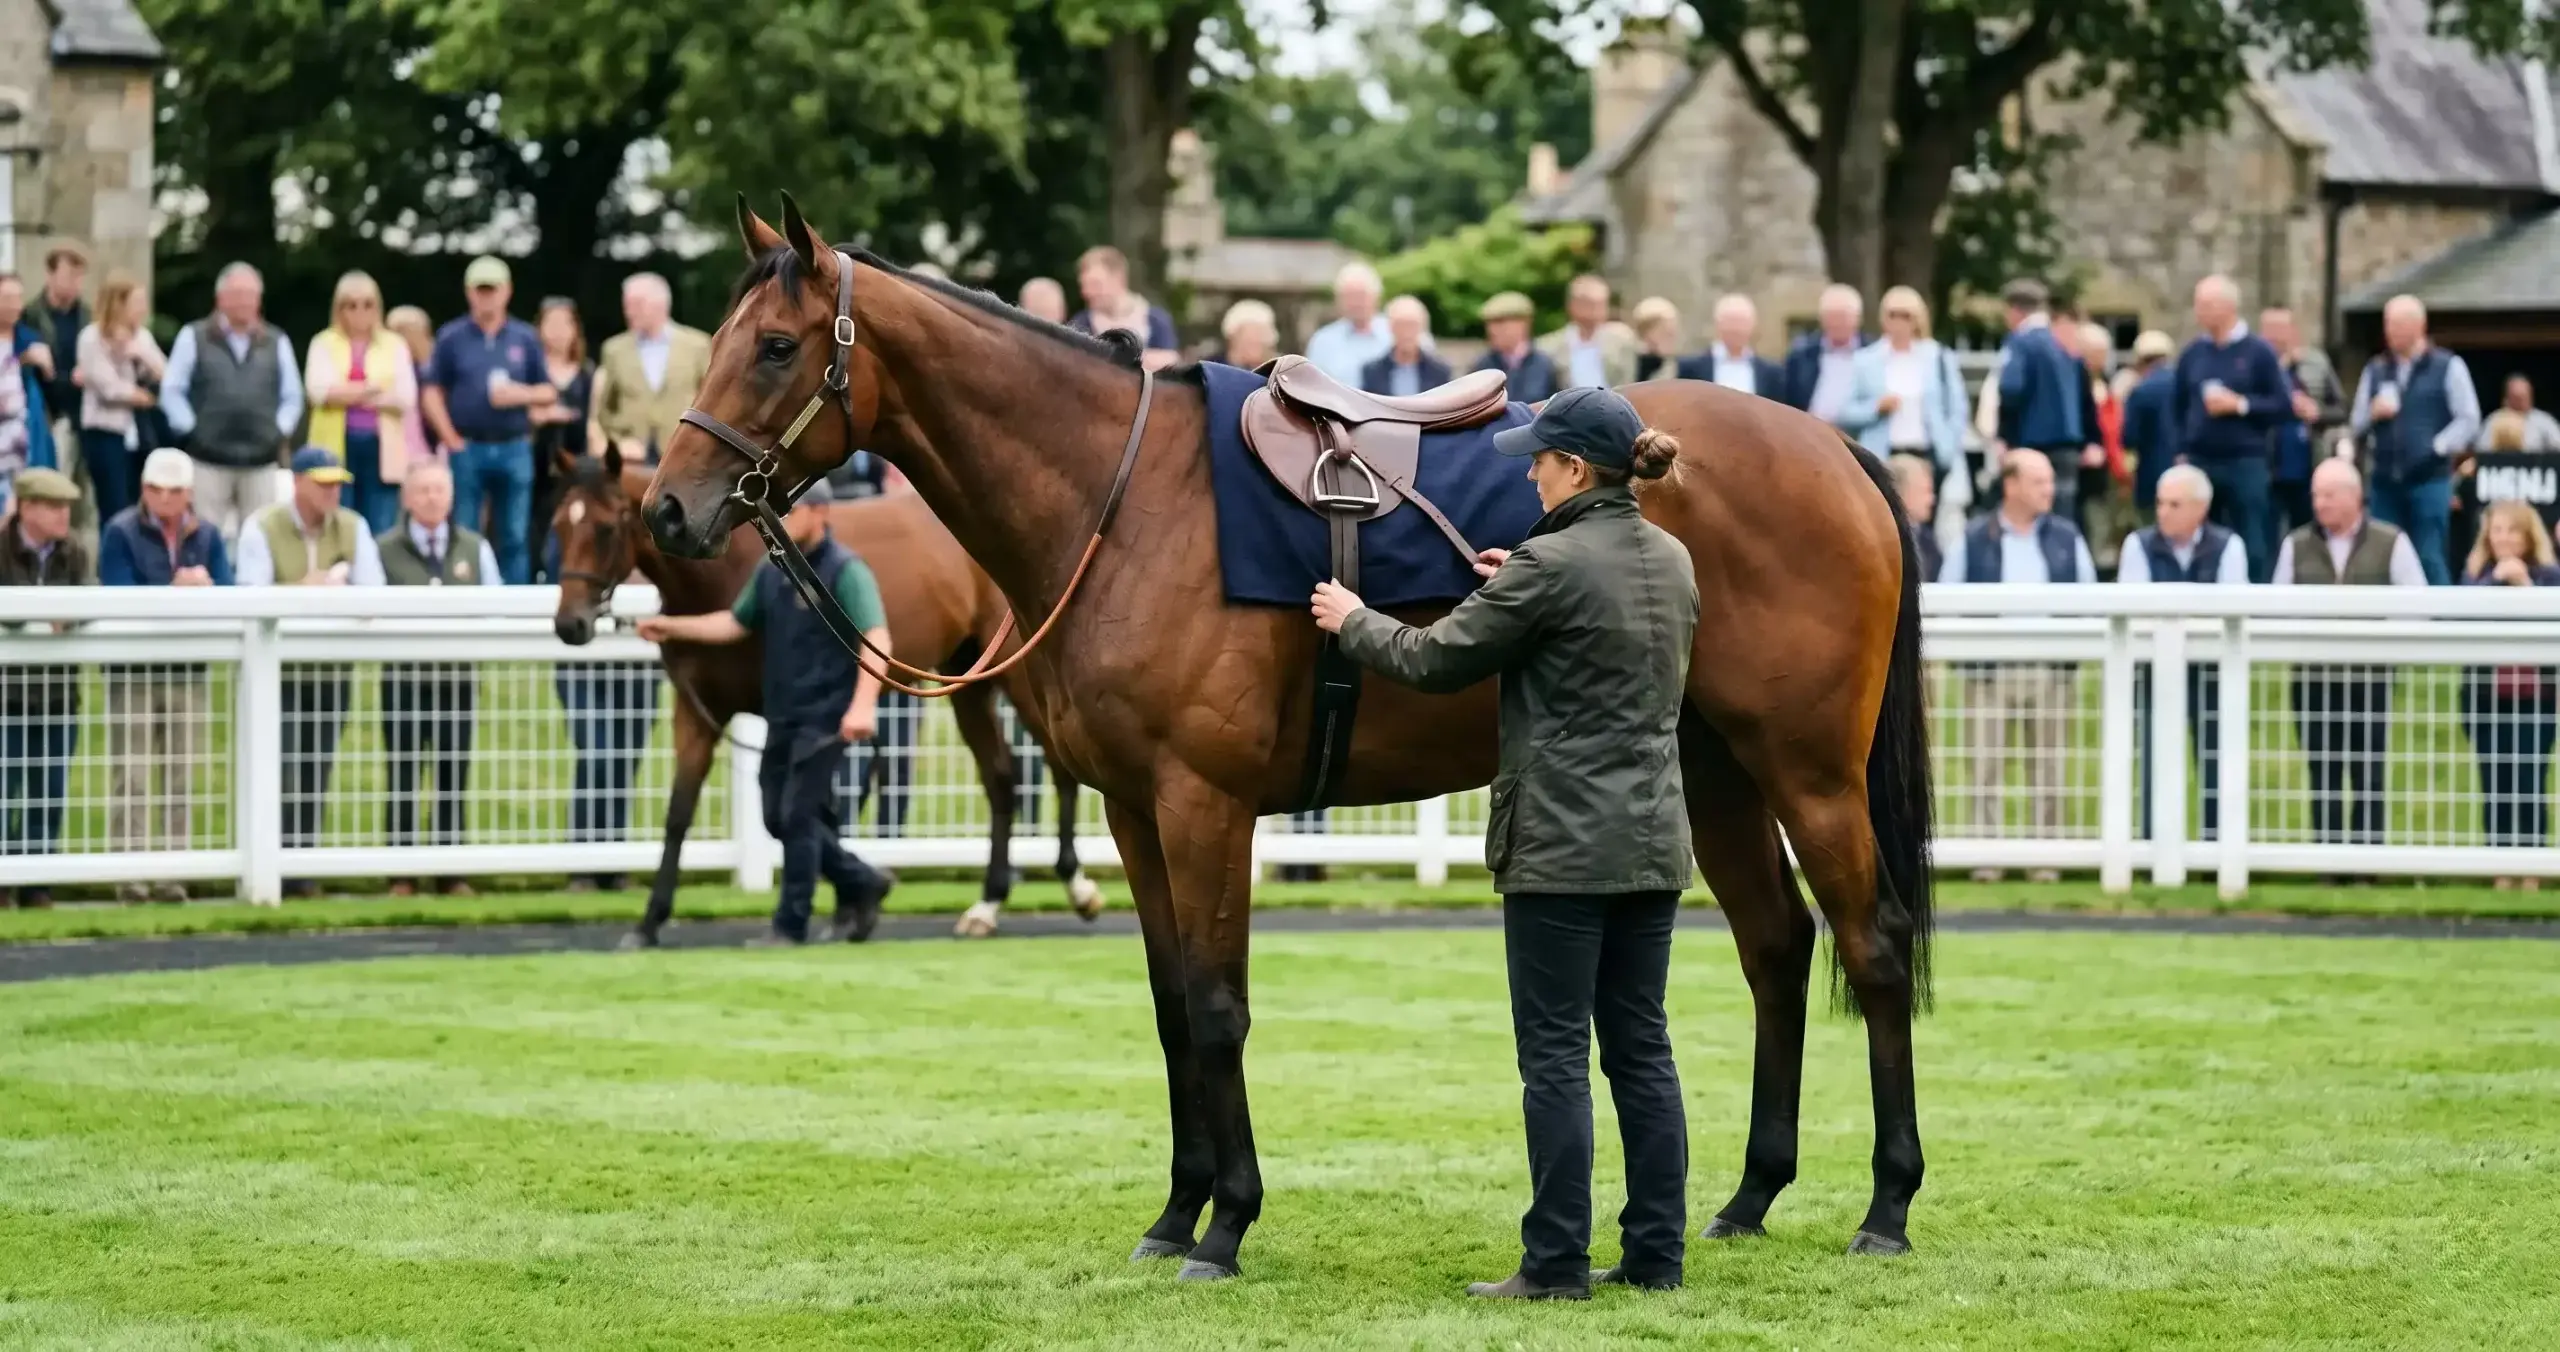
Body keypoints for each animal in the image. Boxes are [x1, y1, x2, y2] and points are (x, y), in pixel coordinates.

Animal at [548, 445, 1104, 946]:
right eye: (557, 525)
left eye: (605, 527)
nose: (569, 625)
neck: (718, 577)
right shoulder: (698, 710)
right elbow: (681, 814)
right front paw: (649, 921)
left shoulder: (792, 714)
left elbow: (809, 810)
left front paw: (848, 903)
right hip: (965, 674)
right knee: (1001, 776)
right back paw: (986, 904)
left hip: (1019, 675)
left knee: (1057, 766)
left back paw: (1076, 886)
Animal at [643, 199, 1934, 1279]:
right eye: (721, 338)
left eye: (774, 347)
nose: (668, 508)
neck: (1125, 502)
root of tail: (1833, 449)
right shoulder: (1133, 810)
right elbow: (1173, 1004)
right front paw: (1175, 1213)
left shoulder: (1203, 802)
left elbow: (1220, 1006)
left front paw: (1227, 1223)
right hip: (1713, 772)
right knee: (1776, 948)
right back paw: (1749, 1196)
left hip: (1809, 769)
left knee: (1869, 945)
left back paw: (1885, 1205)